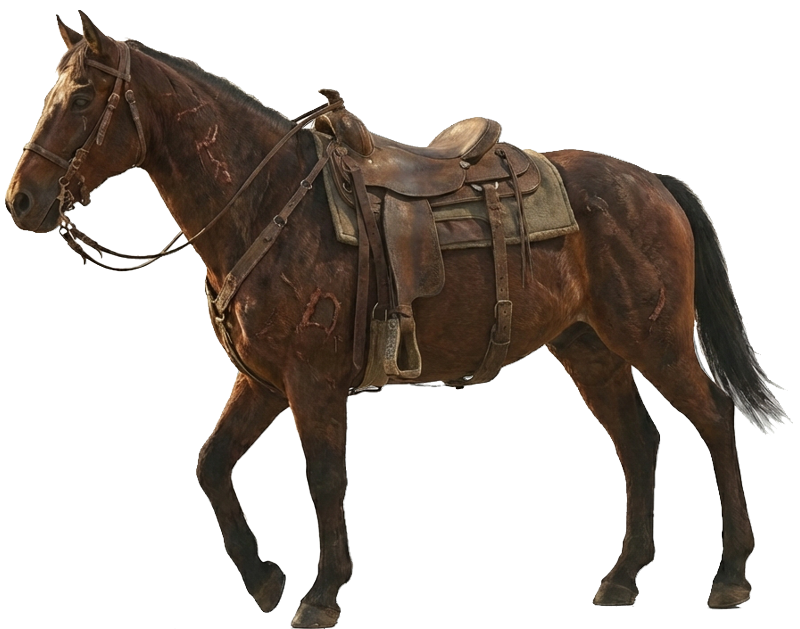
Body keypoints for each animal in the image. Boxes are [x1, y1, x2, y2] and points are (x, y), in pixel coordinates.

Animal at [4, 11, 788, 628]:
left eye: (81, 96)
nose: (21, 200)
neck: (271, 204)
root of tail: (652, 183)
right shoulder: (263, 380)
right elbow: (210, 463)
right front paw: (263, 577)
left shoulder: (312, 379)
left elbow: (324, 476)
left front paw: (322, 591)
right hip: (589, 346)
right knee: (638, 440)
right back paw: (624, 575)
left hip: (654, 337)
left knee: (713, 417)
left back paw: (731, 572)